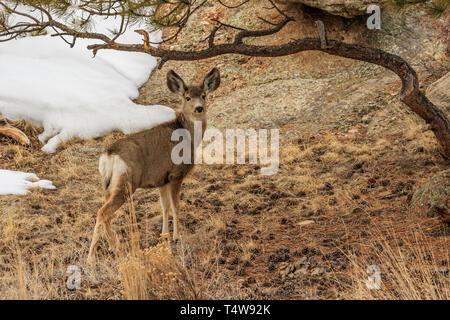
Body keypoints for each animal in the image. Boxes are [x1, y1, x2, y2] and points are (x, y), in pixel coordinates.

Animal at [87, 67, 221, 262]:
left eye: (204, 95)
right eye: (187, 97)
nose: (199, 108)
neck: (189, 137)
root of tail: (108, 155)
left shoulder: (162, 179)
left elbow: (164, 207)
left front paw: (164, 235)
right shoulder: (175, 174)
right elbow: (175, 207)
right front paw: (177, 236)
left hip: (109, 185)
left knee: (106, 215)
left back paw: (115, 247)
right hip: (126, 183)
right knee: (102, 213)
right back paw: (91, 257)